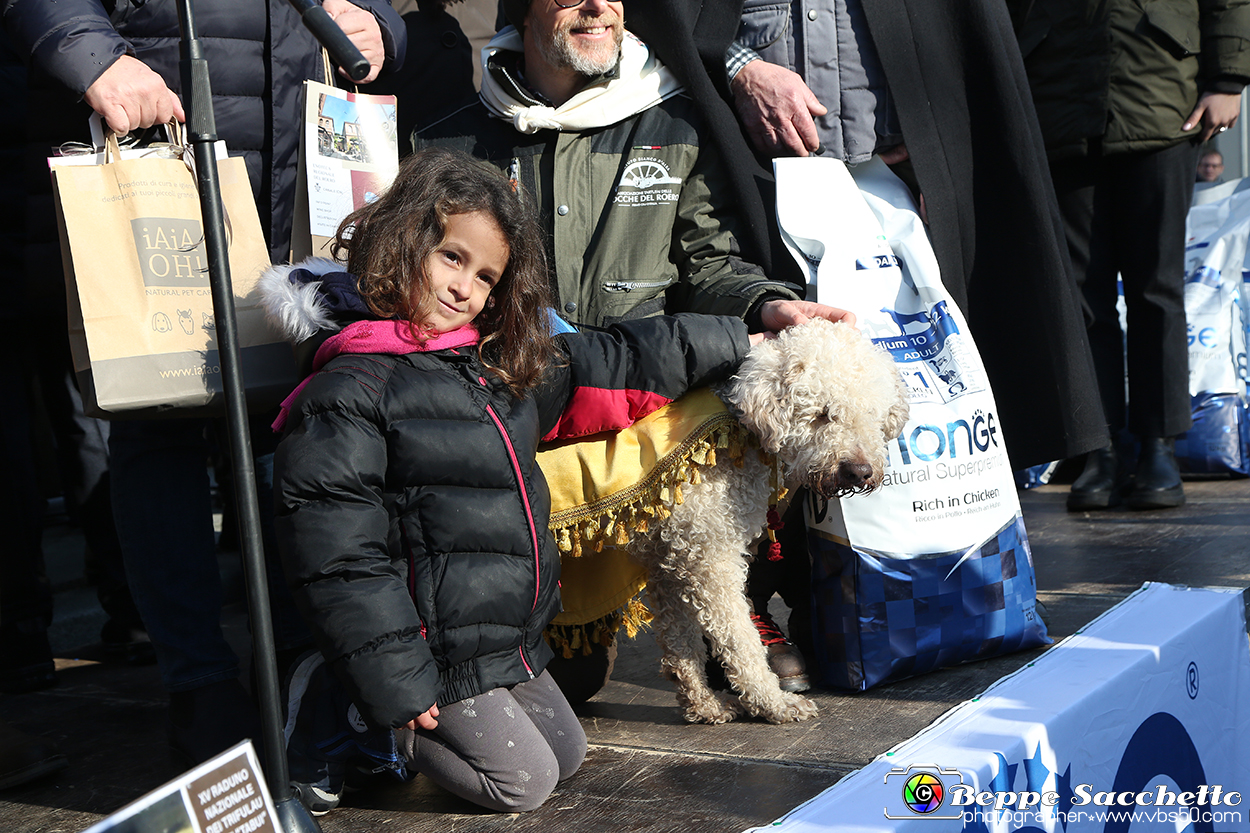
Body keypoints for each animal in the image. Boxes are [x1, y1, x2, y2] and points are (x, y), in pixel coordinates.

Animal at [630, 316, 905, 720]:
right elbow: (739, 639)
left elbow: (681, 643)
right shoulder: (709, 558)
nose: (859, 471)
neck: (736, 437)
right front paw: (772, 702)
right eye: (821, 414)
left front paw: (704, 704)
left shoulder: (669, 554)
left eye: (872, 415)